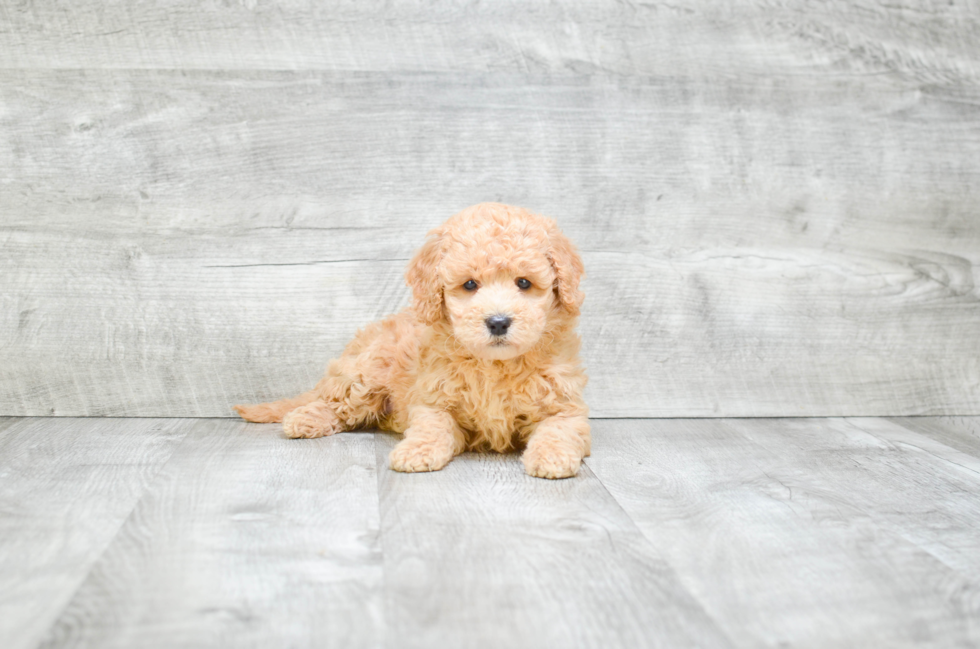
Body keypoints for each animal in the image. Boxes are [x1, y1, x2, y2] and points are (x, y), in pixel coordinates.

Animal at [237, 204, 588, 480]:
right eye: (470, 285)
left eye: (524, 283)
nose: (498, 322)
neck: (495, 365)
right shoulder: (433, 400)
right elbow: (432, 426)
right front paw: (418, 451)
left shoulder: (565, 406)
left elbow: (559, 429)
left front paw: (552, 457)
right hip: (367, 373)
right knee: (337, 402)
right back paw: (305, 419)